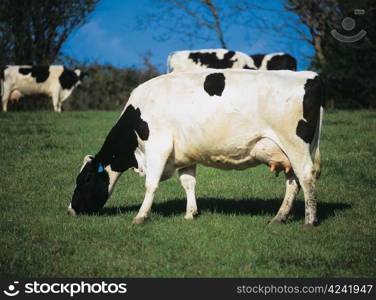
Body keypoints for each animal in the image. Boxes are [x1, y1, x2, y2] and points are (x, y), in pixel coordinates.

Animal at [67, 69, 324, 226]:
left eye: (84, 180)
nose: (70, 210)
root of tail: (310, 76)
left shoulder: (157, 146)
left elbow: (151, 184)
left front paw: (140, 216)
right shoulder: (184, 155)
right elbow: (188, 183)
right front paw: (190, 213)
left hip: (295, 145)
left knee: (306, 178)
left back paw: (309, 221)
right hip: (287, 153)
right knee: (293, 183)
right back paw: (278, 218)